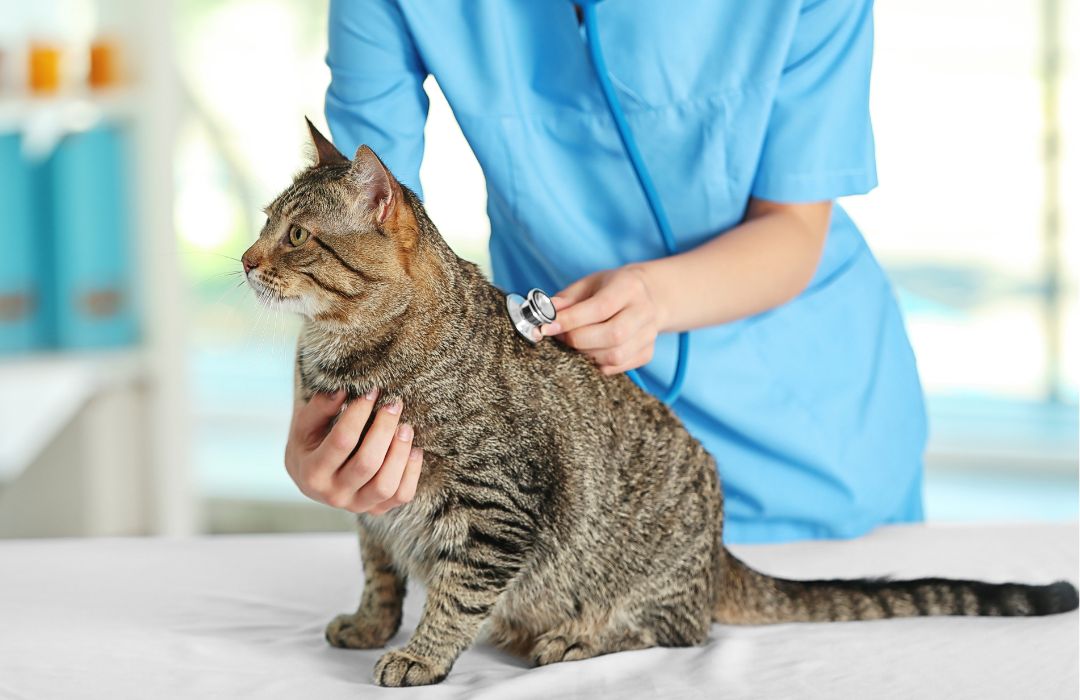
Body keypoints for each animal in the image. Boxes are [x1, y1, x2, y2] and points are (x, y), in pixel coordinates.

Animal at [243, 121, 1080, 687]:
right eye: (262, 222)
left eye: (297, 235)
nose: (246, 261)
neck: (339, 356)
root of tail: (718, 554)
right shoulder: (372, 504)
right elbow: (380, 571)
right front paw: (372, 625)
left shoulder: (498, 503)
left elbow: (456, 593)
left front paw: (421, 655)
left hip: (644, 582)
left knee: (680, 631)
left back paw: (575, 640)